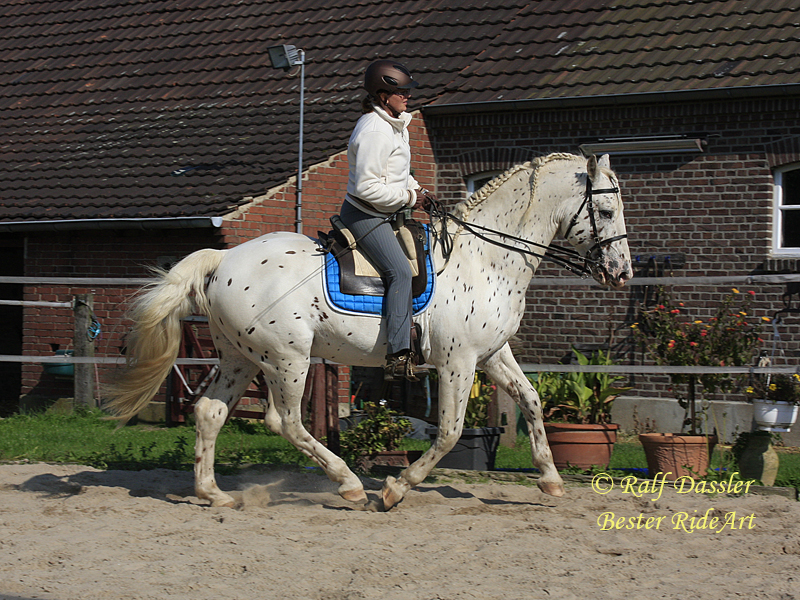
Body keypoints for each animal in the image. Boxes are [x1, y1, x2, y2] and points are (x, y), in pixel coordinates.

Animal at [106, 151, 632, 510]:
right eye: (606, 212)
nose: (622, 273)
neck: (486, 257)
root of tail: (223, 259)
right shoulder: (457, 362)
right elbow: (449, 432)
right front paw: (397, 489)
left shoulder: (491, 354)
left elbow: (532, 401)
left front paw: (550, 479)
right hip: (286, 360)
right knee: (286, 421)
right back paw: (351, 485)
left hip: (241, 357)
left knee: (210, 412)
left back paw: (213, 492)